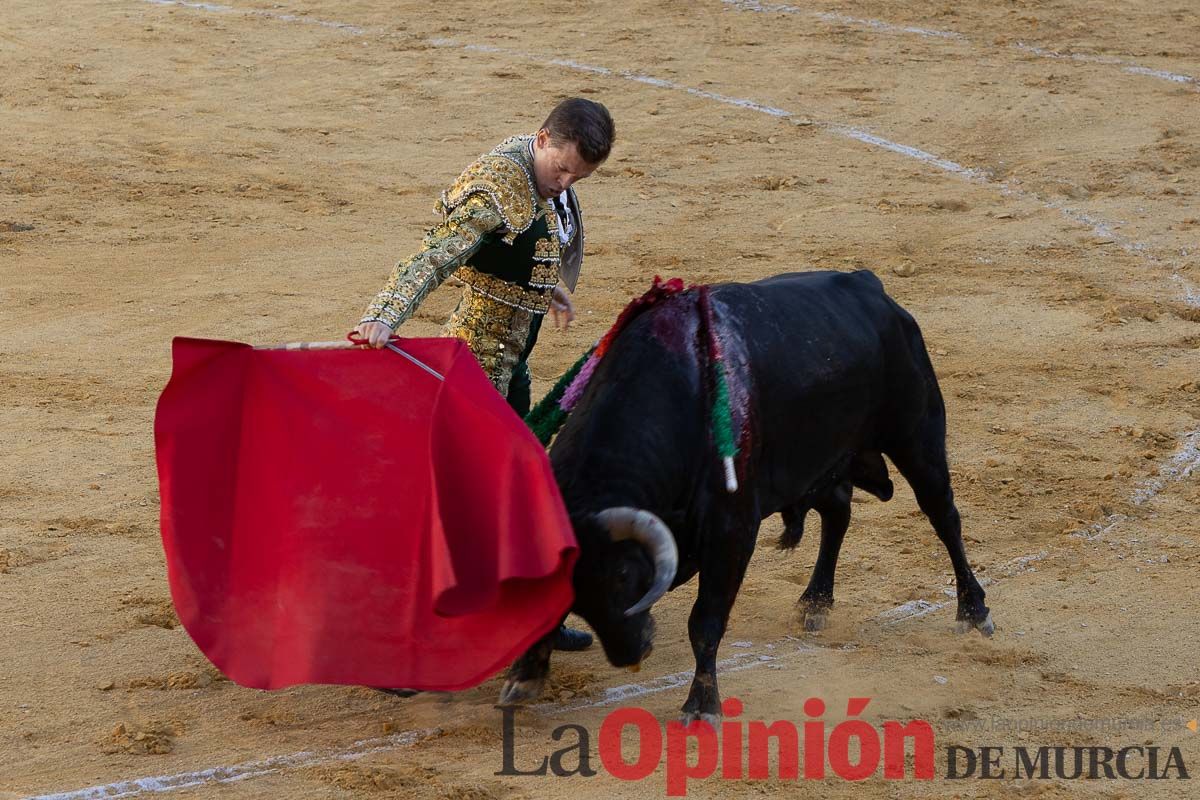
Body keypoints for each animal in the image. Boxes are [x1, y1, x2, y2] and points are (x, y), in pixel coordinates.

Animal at [496, 271, 993, 724]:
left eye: (621, 574)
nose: (628, 653)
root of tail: (871, 287)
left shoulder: (730, 531)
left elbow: (705, 621)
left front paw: (702, 705)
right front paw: (526, 676)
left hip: (917, 435)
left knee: (944, 516)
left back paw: (973, 610)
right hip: (825, 461)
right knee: (837, 512)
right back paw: (815, 603)